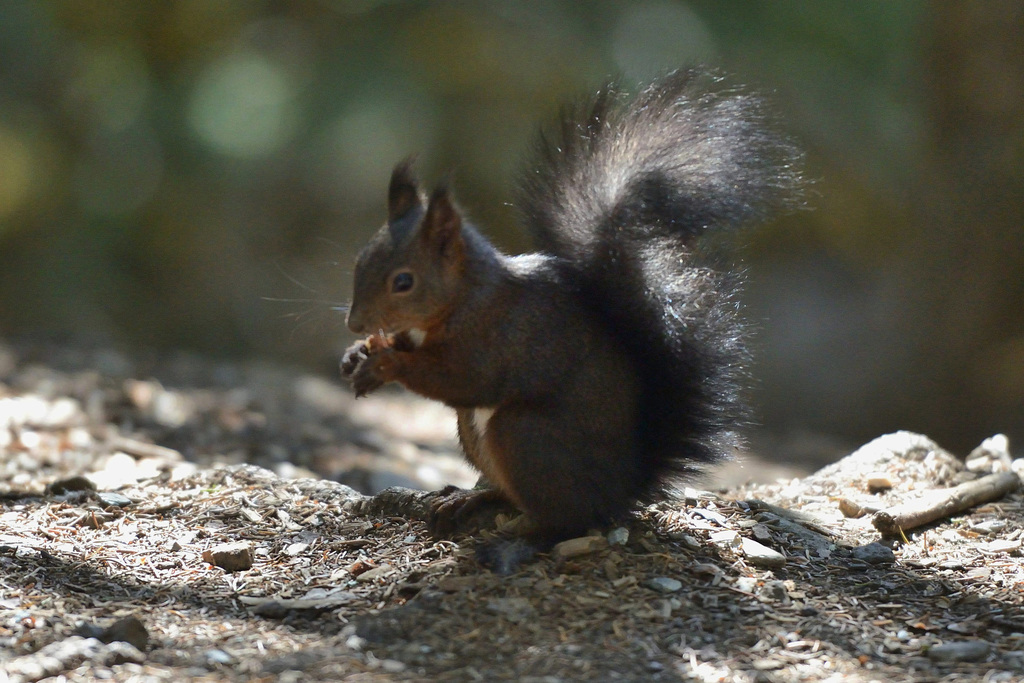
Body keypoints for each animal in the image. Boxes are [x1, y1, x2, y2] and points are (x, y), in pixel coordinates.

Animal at [339, 66, 802, 569]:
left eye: (403, 281)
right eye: (360, 260)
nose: (355, 324)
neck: (462, 297)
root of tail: (620, 489)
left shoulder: (498, 336)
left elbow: (461, 379)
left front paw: (384, 363)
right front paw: (357, 355)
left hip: (525, 437)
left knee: (567, 519)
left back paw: (520, 540)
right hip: (477, 437)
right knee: (518, 497)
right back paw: (472, 499)